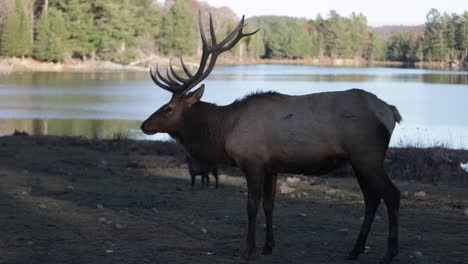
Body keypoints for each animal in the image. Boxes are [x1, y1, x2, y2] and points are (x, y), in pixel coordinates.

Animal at [140, 13, 402, 262]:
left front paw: (249, 251)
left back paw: (389, 253)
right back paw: (355, 251)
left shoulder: (252, 162)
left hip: (367, 156)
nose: (144, 125)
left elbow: (251, 206)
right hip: (359, 161)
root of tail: (390, 111)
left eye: (168, 109)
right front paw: (268, 247)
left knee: (392, 195)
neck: (224, 131)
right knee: (371, 199)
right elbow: (269, 205)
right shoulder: (272, 167)